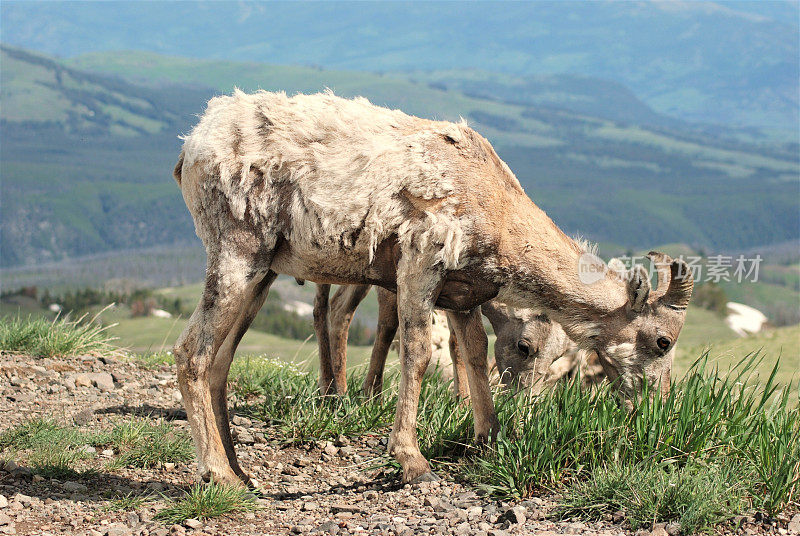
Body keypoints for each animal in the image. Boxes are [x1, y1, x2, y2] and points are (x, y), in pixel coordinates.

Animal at [172, 91, 692, 486]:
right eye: (663, 340)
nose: (658, 409)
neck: (496, 206)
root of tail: (193, 145)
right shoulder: (421, 267)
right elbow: (417, 351)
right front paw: (414, 462)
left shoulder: (462, 298)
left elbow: (475, 355)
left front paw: (488, 441)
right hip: (237, 258)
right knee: (192, 352)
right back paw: (219, 475)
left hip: (262, 276)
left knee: (220, 361)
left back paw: (241, 473)